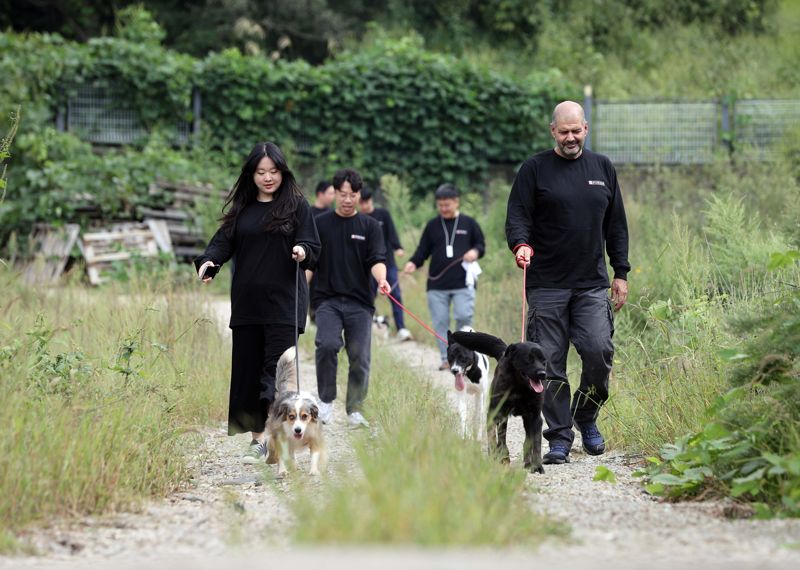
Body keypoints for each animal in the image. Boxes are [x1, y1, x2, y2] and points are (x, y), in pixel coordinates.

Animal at [454, 326, 548, 472]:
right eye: (528, 359)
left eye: (543, 360)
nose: (542, 374)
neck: (520, 387)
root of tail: (505, 351)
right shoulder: (497, 413)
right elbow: (496, 437)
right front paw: (498, 456)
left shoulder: (535, 417)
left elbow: (536, 442)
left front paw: (537, 466)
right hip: (499, 415)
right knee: (498, 436)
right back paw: (501, 456)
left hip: (525, 420)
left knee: (526, 440)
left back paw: (526, 462)